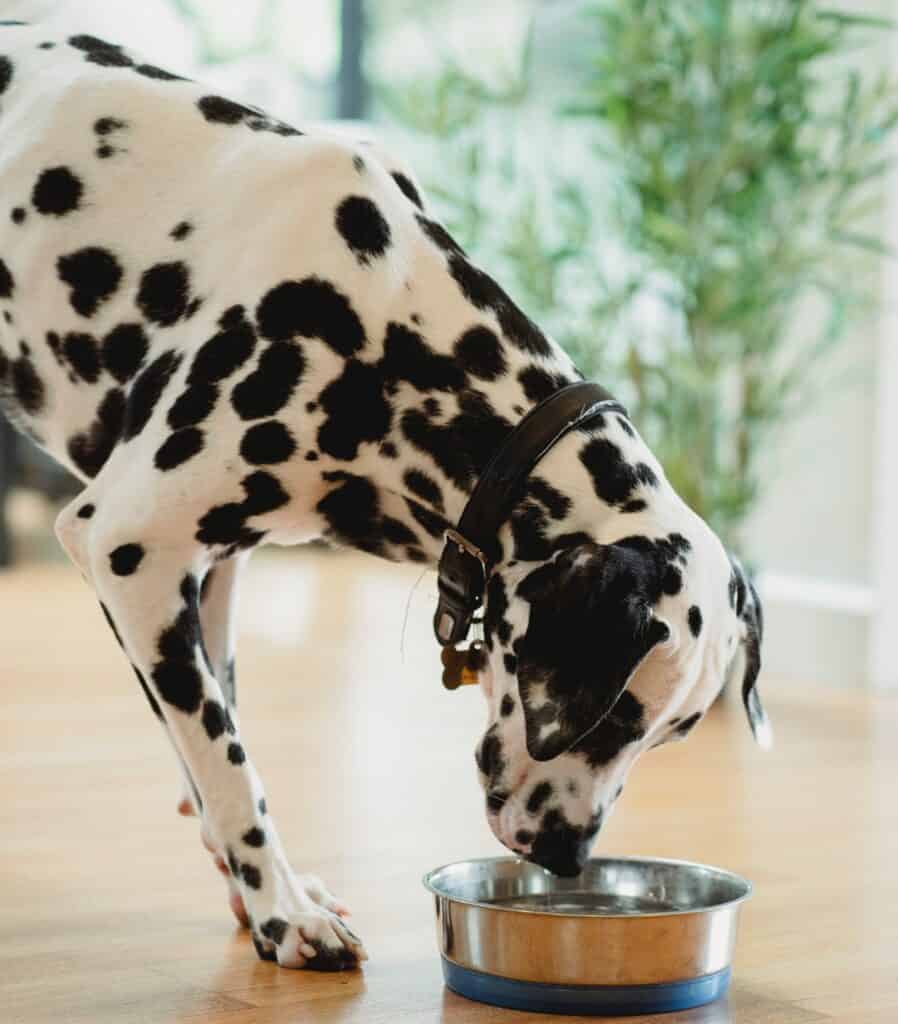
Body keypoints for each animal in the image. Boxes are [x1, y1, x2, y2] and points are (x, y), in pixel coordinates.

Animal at [0, 22, 765, 966]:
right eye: (616, 716)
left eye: (668, 733)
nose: (568, 855)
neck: (385, 318)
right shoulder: (128, 545)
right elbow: (226, 760)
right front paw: (284, 910)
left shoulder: (206, 567)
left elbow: (214, 732)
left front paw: (252, 886)